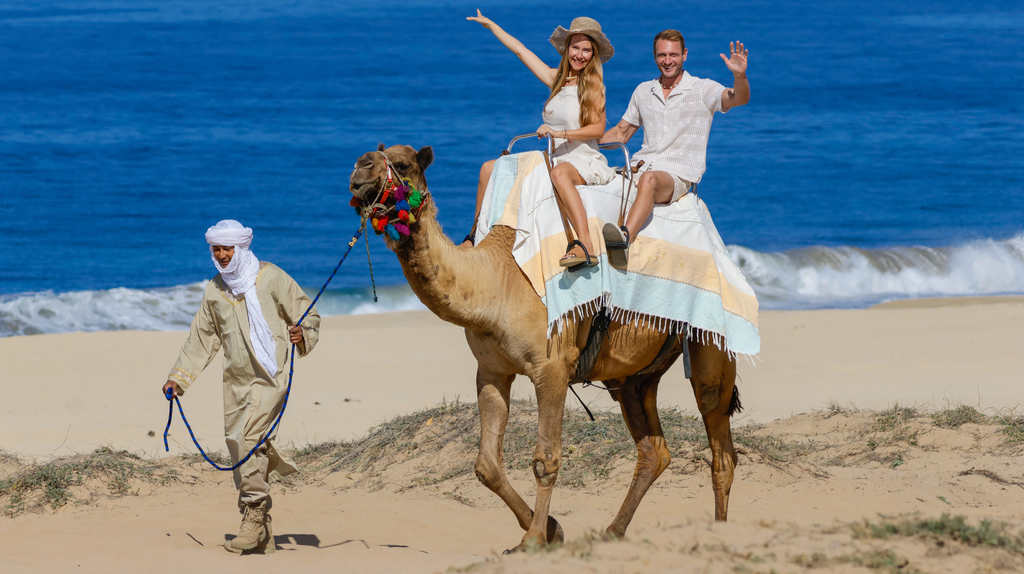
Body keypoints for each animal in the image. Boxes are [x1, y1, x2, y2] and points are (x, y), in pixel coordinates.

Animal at [349, 144, 741, 551]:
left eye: (403, 163)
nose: (360, 168)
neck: (497, 280)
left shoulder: (551, 368)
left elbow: (546, 459)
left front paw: (535, 538)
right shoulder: (492, 370)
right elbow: (486, 465)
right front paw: (552, 529)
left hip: (712, 345)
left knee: (719, 442)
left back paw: (719, 534)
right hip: (633, 376)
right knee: (654, 449)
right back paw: (613, 531)